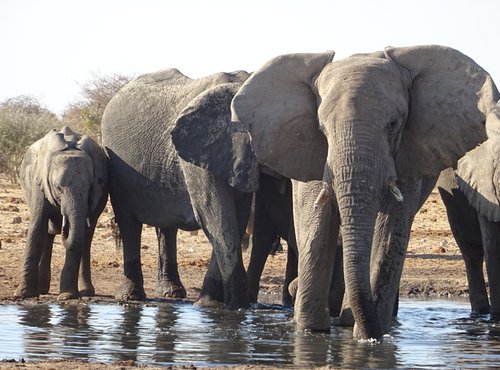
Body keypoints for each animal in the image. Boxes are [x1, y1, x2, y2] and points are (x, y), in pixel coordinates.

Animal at [16, 125, 107, 300]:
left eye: (89, 187)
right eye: (58, 188)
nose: (65, 228)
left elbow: (80, 235)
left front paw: (67, 296)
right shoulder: (39, 182)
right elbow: (37, 226)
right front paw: (23, 295)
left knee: (86, 240)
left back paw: (85, 292)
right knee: (47, 234)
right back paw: (42, 290)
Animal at [101, 68, 258, 308]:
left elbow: (235, 218)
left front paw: (212, 304)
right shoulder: (198, 154)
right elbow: (215, 216)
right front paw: (231, 308)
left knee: (166, 227)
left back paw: (172, 293)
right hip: (117, 168)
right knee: (129, 223)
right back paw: (131, 296)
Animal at [229, 44, 498, 340]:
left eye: (393, 124)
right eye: (322, 128)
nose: (373, 336)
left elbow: (389, 230)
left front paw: (368, 338)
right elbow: (316, 225)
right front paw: (310, 331)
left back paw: (355, 320)